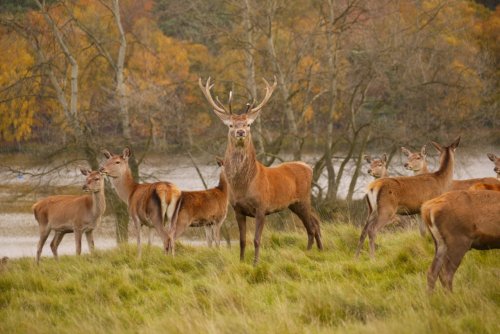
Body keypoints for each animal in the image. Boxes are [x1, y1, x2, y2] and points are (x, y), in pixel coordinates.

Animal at [199, 77, 324, 264]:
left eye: (248, 124)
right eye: (230, 125)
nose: (241, 131)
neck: (243, 185)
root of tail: (308, 167)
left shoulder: (261, 207)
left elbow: (257, 239)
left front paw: (256, 262)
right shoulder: (237, 210)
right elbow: (242, 240)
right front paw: (242, 261)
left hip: (303, 199)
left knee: (312, 226)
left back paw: (310, 252)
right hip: (294, 204)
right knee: (315, 221)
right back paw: (319, 250)